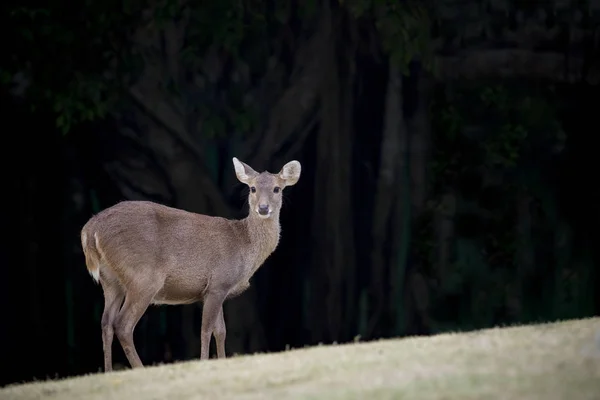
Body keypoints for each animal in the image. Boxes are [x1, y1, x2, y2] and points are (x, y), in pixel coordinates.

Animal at [81, 157, 300, 372]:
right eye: (252, 188)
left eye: (277, 189)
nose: (263, 208)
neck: (243, 245)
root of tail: (91, 229)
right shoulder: (218, 282)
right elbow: (206, 329)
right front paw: (204, 363)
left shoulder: (216, 289)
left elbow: (220, 331)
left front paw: (222, 361)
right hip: (143, 277)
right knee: (123, 324)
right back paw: (139, 368)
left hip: (111, 280)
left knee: (106, 322)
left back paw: (109, 371)